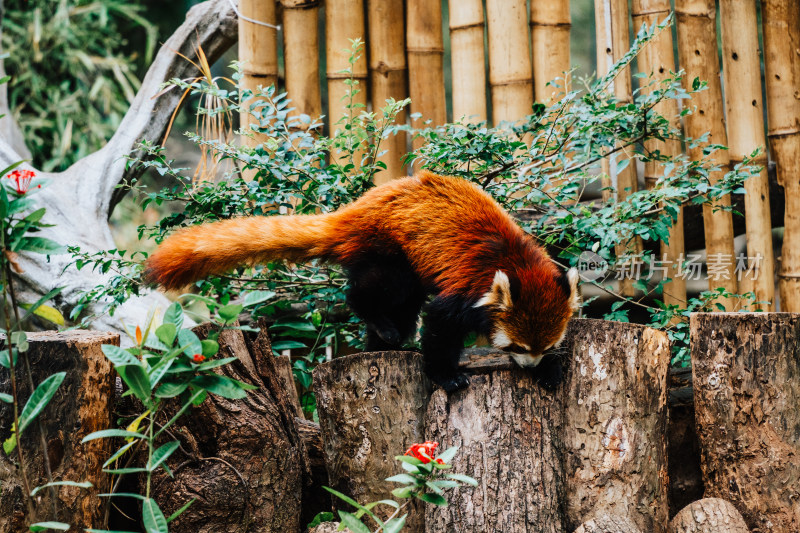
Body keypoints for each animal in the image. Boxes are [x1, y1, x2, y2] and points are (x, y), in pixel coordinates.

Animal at [147, 170, 580, 390]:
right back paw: (382, 328)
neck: (519, 263)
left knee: (403, 306)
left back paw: (385, 342)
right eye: (516, 345)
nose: (528, 365)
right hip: (388, 249)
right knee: (377, 292)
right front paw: (445, 375)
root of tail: (352, 211)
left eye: (545, 346)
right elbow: (440, 324)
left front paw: (548, 371)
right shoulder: (467, 290)